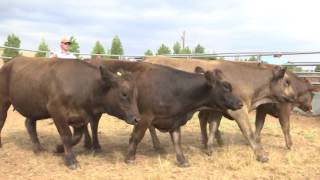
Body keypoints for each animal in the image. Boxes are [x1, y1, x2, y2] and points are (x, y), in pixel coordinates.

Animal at [0, 57, 140, 169]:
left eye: (136, 94)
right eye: (124, 93)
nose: (137, 119)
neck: (83, 86)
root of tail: (11, 61)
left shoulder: (80, 117)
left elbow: (76, 137)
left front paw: (59, 148)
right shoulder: (56, 110)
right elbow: (66, 135)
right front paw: (71, 161)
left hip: (33, 106)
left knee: (30, 124)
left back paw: (38, 149)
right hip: (3, 102)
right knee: (3, 121)